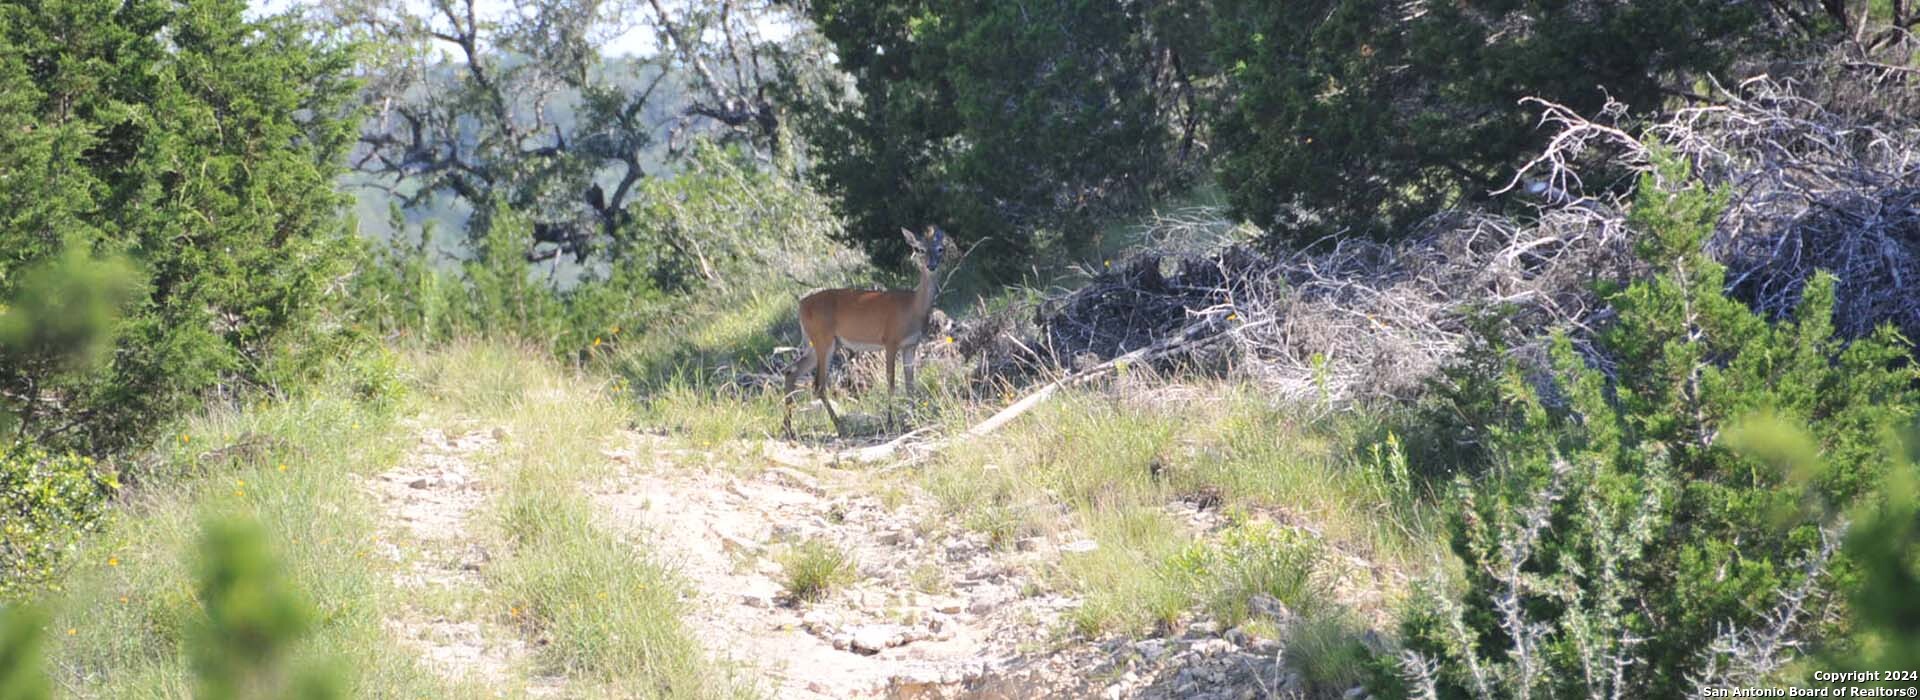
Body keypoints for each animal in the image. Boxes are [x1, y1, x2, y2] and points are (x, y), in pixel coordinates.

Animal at [783, 225, 948, 437]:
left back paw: (789, 428)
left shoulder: (910, 345)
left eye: (940, 249)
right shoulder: (890, 341)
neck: (912, 307)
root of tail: (801, 304)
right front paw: (891, 422)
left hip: (819, 343)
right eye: (919, 249)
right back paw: (840, 426)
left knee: (791, 371)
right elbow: (891, 383)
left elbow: (911, 384)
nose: (931, 265)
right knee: (818, 385)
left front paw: (914, 418)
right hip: (823, 339)